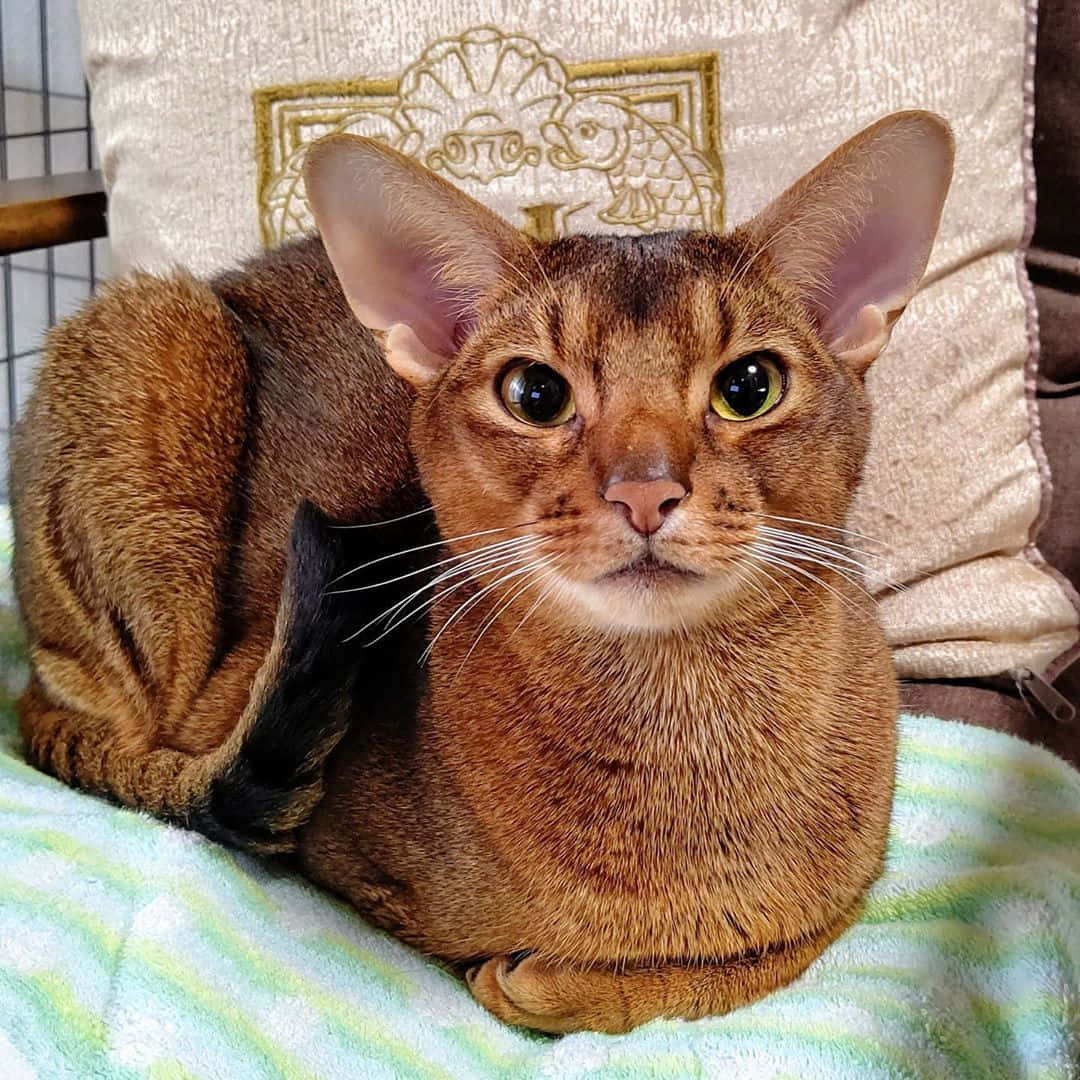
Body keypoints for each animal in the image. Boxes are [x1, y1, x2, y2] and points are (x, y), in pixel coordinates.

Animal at [10, 111, 954, 1036]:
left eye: (750, 387)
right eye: (535, 394)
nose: (645, 492)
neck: (679, 728)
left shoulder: (844, 897)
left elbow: (744, 965)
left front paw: (554, 982)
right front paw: (534, 977)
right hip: (161, 338)